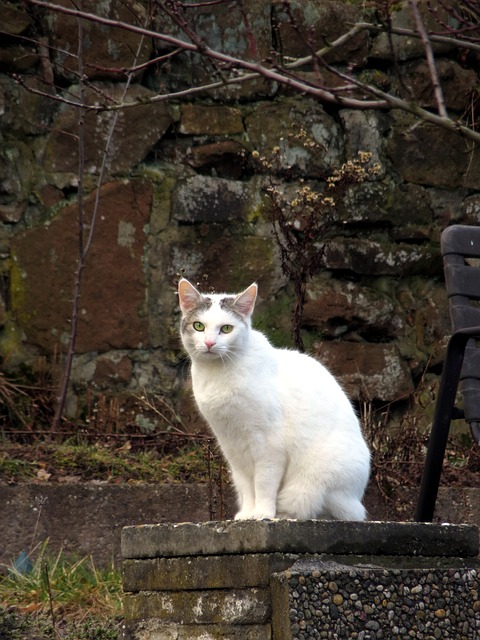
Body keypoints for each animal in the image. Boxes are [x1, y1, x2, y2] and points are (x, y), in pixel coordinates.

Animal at [178, 278, 370, 520]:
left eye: (226, 328)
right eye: (199, 326)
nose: (210, 343)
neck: (217, 376)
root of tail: (357, 499)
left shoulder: (269, 446)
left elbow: (263, 483)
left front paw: (262, 513)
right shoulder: (232, 447)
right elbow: (246, 486)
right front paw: (247, 514)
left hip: (311, 483)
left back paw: (283, 514)